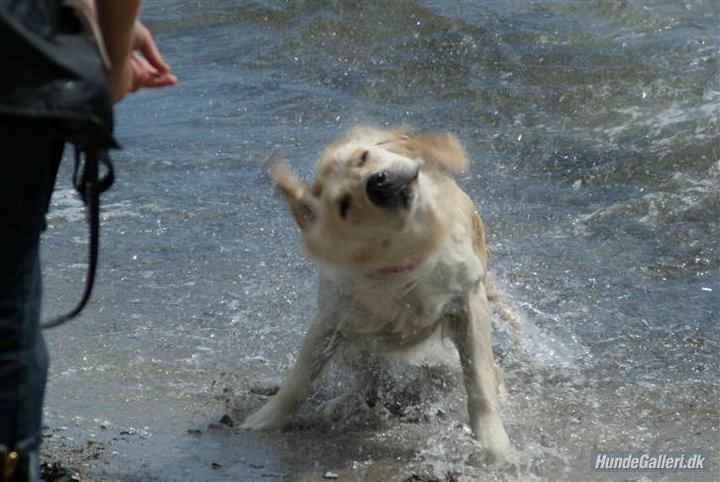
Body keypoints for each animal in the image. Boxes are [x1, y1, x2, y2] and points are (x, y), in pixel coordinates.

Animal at [245, 125, 516, 464]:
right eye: (344, 205)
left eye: (363, 157)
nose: (378, 182)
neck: (405, 256)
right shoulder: (332, 317)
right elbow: (300, 377)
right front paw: (265, 419)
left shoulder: (467, 301)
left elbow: (479, 378)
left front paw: (495, 444)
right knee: (369, 379)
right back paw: (342, 403)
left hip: (440, 356)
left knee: (487, 371)